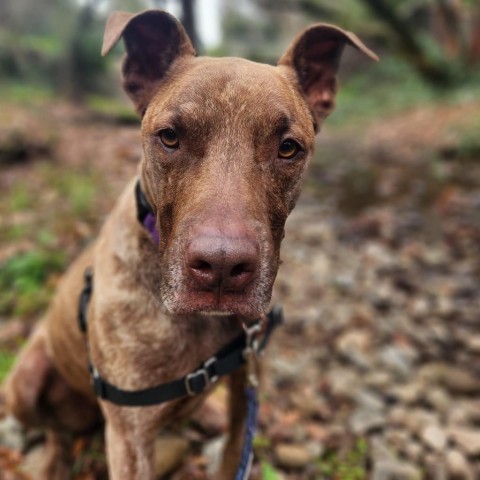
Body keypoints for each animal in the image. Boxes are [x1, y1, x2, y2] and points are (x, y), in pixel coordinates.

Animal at [4, 8, 378, 480]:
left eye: (288, 148)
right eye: (169, 137)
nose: (221, 268)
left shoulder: (245, 386)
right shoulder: (130, 436)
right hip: (25, 380)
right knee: (53, 427)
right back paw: (54, 458)